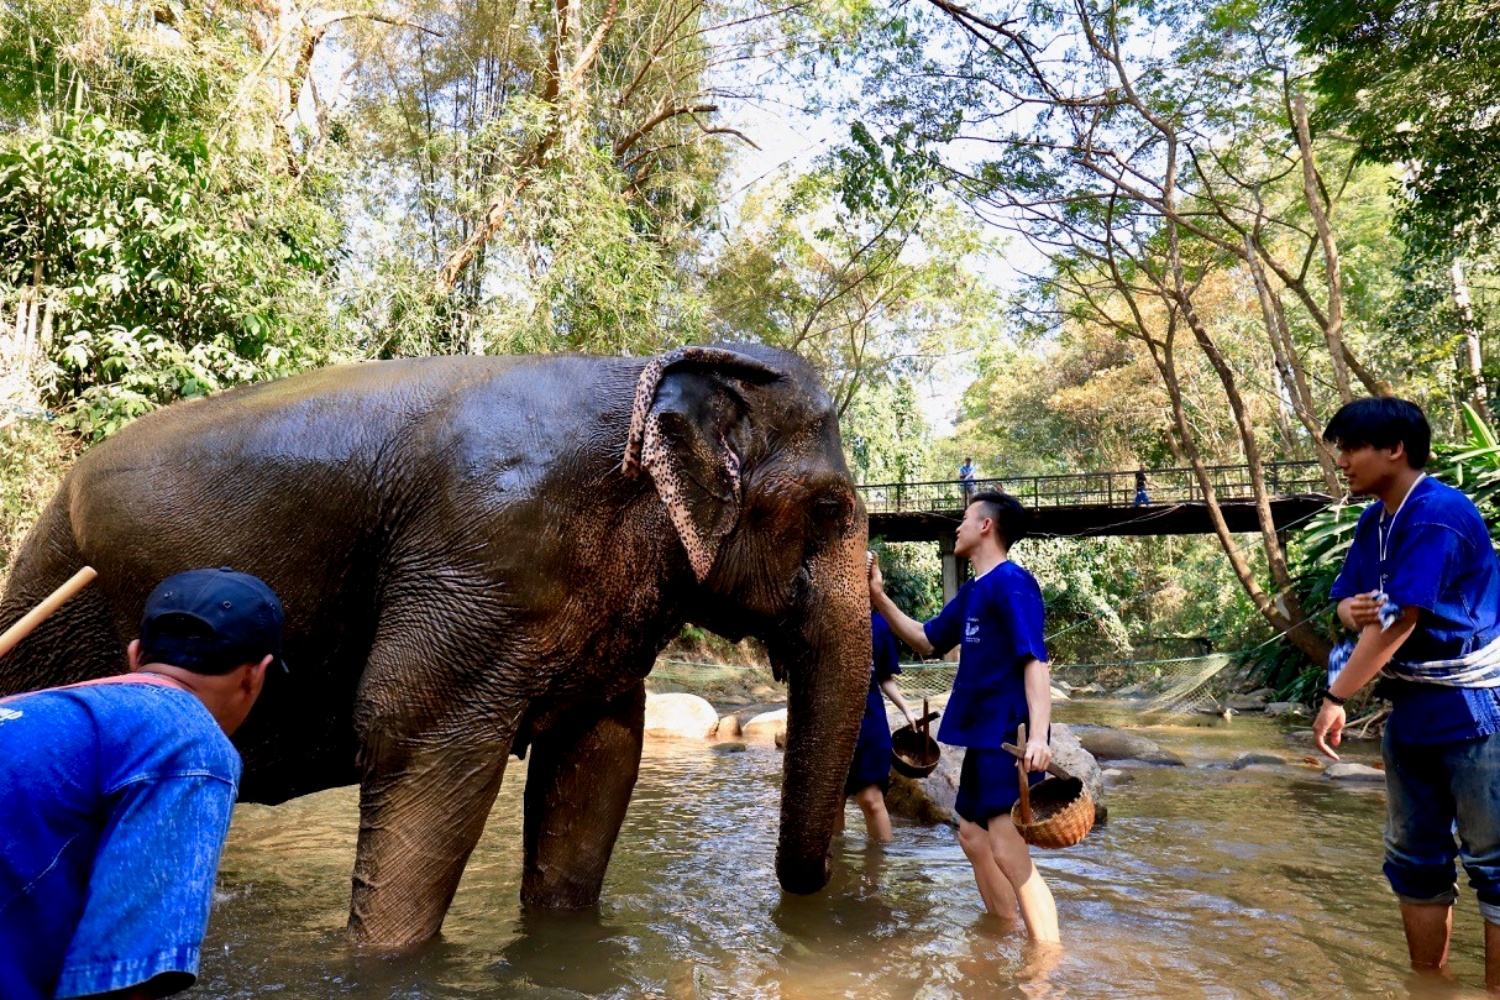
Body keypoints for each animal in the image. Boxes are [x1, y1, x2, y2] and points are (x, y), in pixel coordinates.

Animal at [0, 344, 870, 947]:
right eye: (830, 509)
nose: (815, 891)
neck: (642, 372)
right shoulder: (479, 553)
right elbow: (416, 735)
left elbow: (599, 755)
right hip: (56, 603)